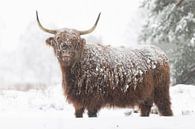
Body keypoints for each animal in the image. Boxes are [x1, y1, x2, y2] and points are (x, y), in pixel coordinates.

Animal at [36, 11, 172, 117]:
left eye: (75, 41)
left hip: (161, 90)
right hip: (145, 95)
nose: (66, 52)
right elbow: (78, 114)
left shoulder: (94, 99)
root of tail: (160, 52)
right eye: (58, 39)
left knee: (166, 108)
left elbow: (92, 114)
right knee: (146, 108)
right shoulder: (78, 102)